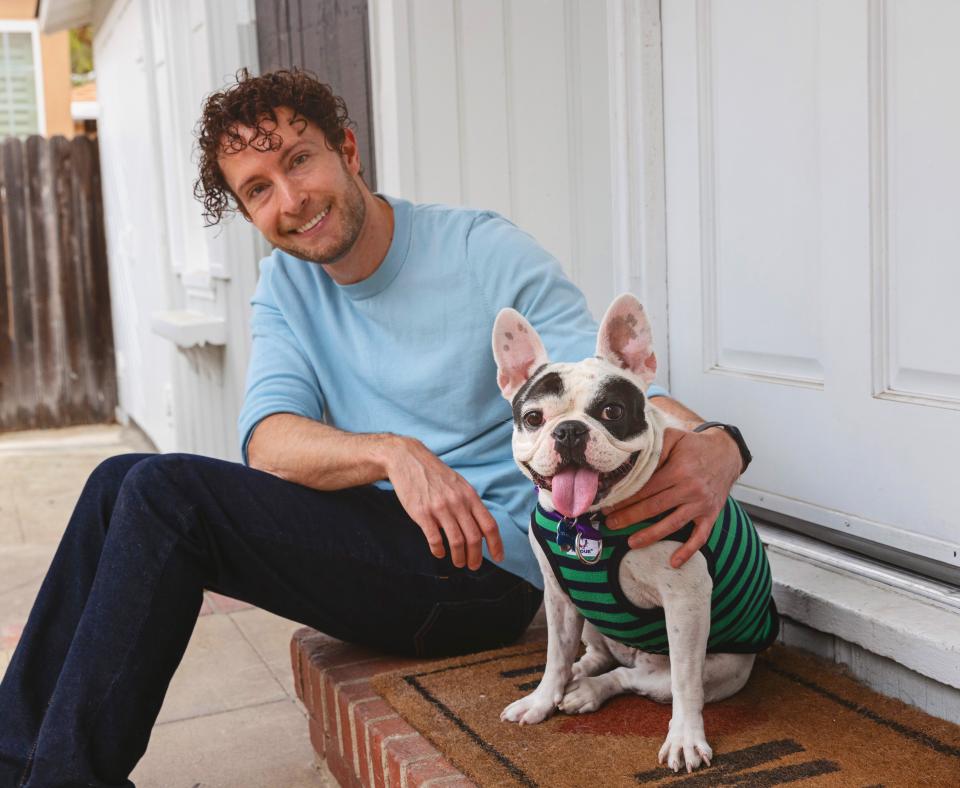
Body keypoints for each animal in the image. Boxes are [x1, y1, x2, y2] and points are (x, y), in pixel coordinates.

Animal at [492, 292, 776, 772]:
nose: (569, 431)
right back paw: (578, 677)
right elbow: (554, 654)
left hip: (718, 668)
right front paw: (542, 699)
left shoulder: (686, 600)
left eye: (612, 411)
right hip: (588, 617)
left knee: (634, 677)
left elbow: (684, 684)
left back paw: (589, 690)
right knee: (595, 655)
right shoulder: (558, 595)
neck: (592, 521)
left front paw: (685, 739)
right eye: (532, 418)